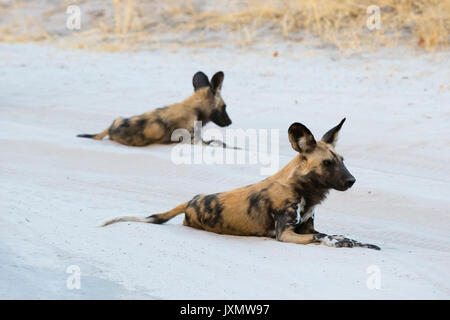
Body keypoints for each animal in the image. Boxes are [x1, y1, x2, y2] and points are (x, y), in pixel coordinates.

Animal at [102, 119, 380, 250]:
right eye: (327, 163)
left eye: (342, 161)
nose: (352, 181)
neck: (302, 189)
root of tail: (192, 199)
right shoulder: (286, 234)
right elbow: (326, 237)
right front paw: (343, 243)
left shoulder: (306, 228)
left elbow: (337, 235)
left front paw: (361, 243)